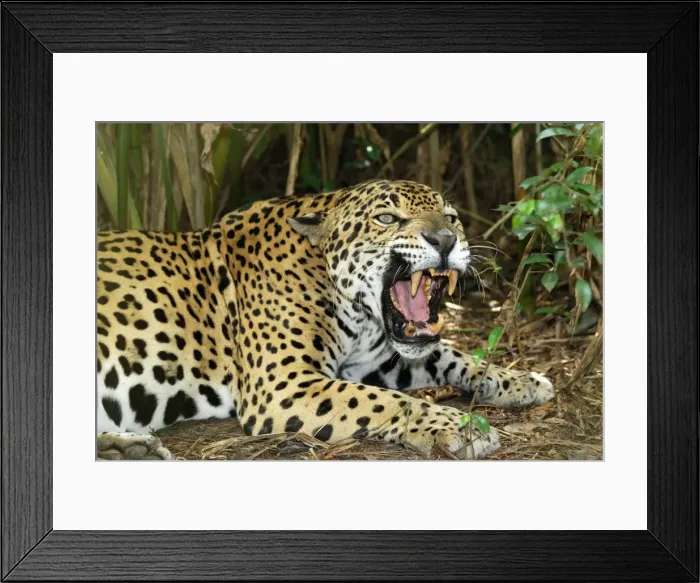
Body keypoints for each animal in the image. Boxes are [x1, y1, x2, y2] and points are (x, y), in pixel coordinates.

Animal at [96, 179, 554, 460]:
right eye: (387, 219)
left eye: (451, 217)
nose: (445, 240)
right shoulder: (283, 383)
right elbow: (386, 400)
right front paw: (459, 425)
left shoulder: (379, 359)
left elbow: (454, 356)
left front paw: (522, 380)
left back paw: (130, 449)